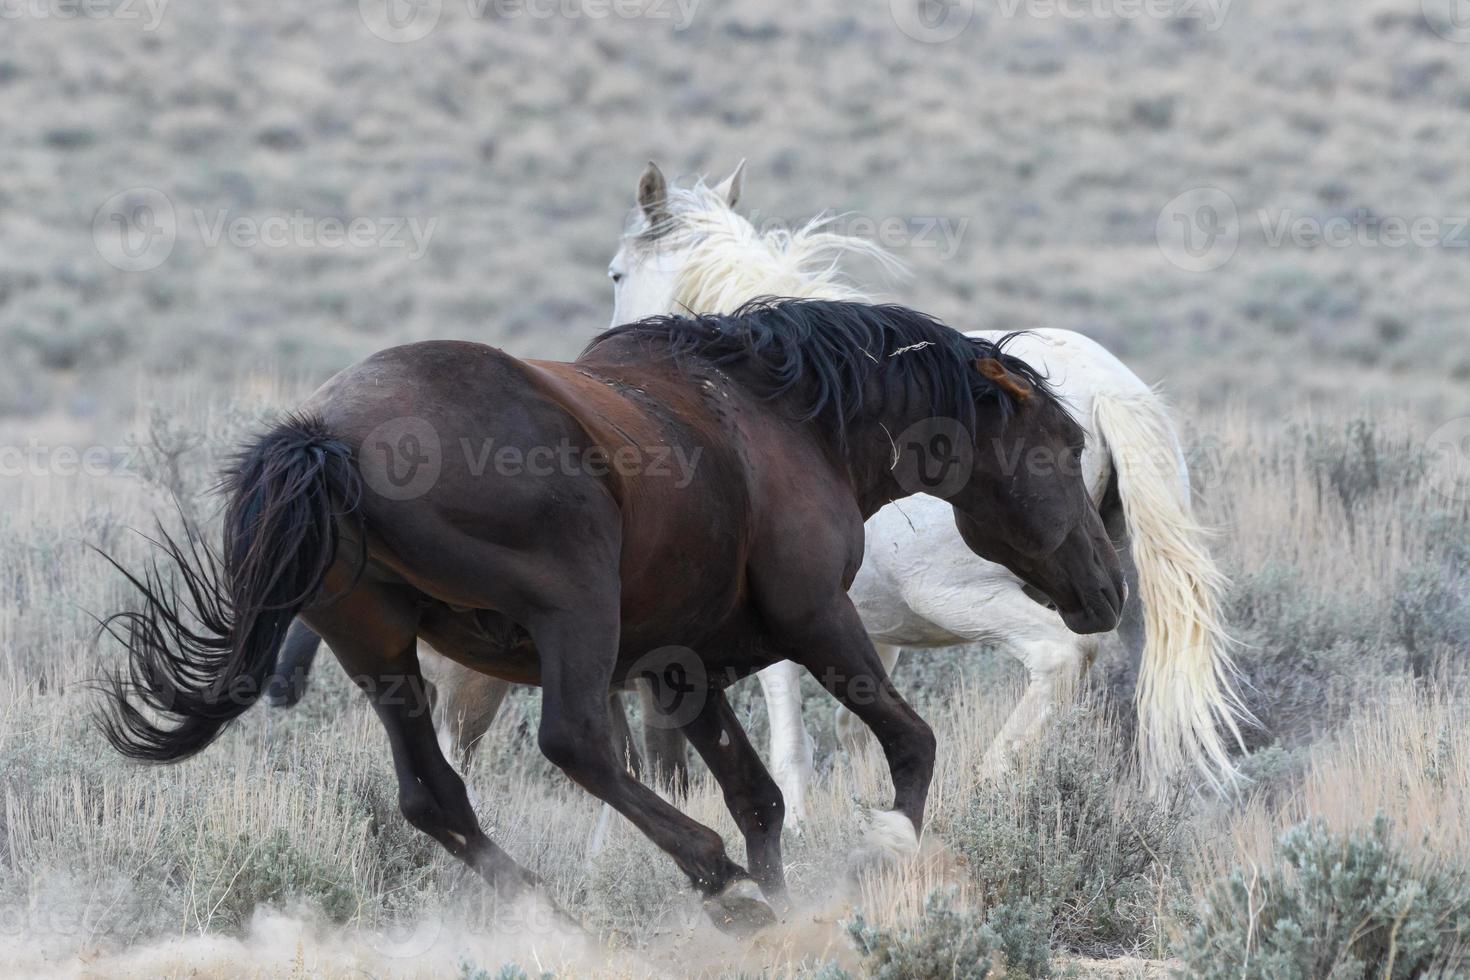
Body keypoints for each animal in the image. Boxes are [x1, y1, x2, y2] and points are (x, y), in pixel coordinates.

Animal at [97, 302, 1117, 934]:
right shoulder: (819, 621)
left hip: (378, 646)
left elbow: (760, 795)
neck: (785, 421)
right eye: (1065, 444)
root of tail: (328, 437)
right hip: (572, 607)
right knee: (573, 743)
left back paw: (553, 912)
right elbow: (909, 741)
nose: (1106, 590)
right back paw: (715, 883)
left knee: (435, 795)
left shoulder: (682, 668)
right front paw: (883, 847)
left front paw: (789, 906)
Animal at [385, 163, 1246, 834]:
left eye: (616, 274)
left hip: (990, 598)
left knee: (1060, 658)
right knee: (1156, 688)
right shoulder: (873, 634)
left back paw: (993, 782)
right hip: (1125, 593)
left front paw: (803, 820)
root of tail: (1109, 390)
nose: (597, 359)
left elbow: (789, 732)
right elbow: (862, 732)